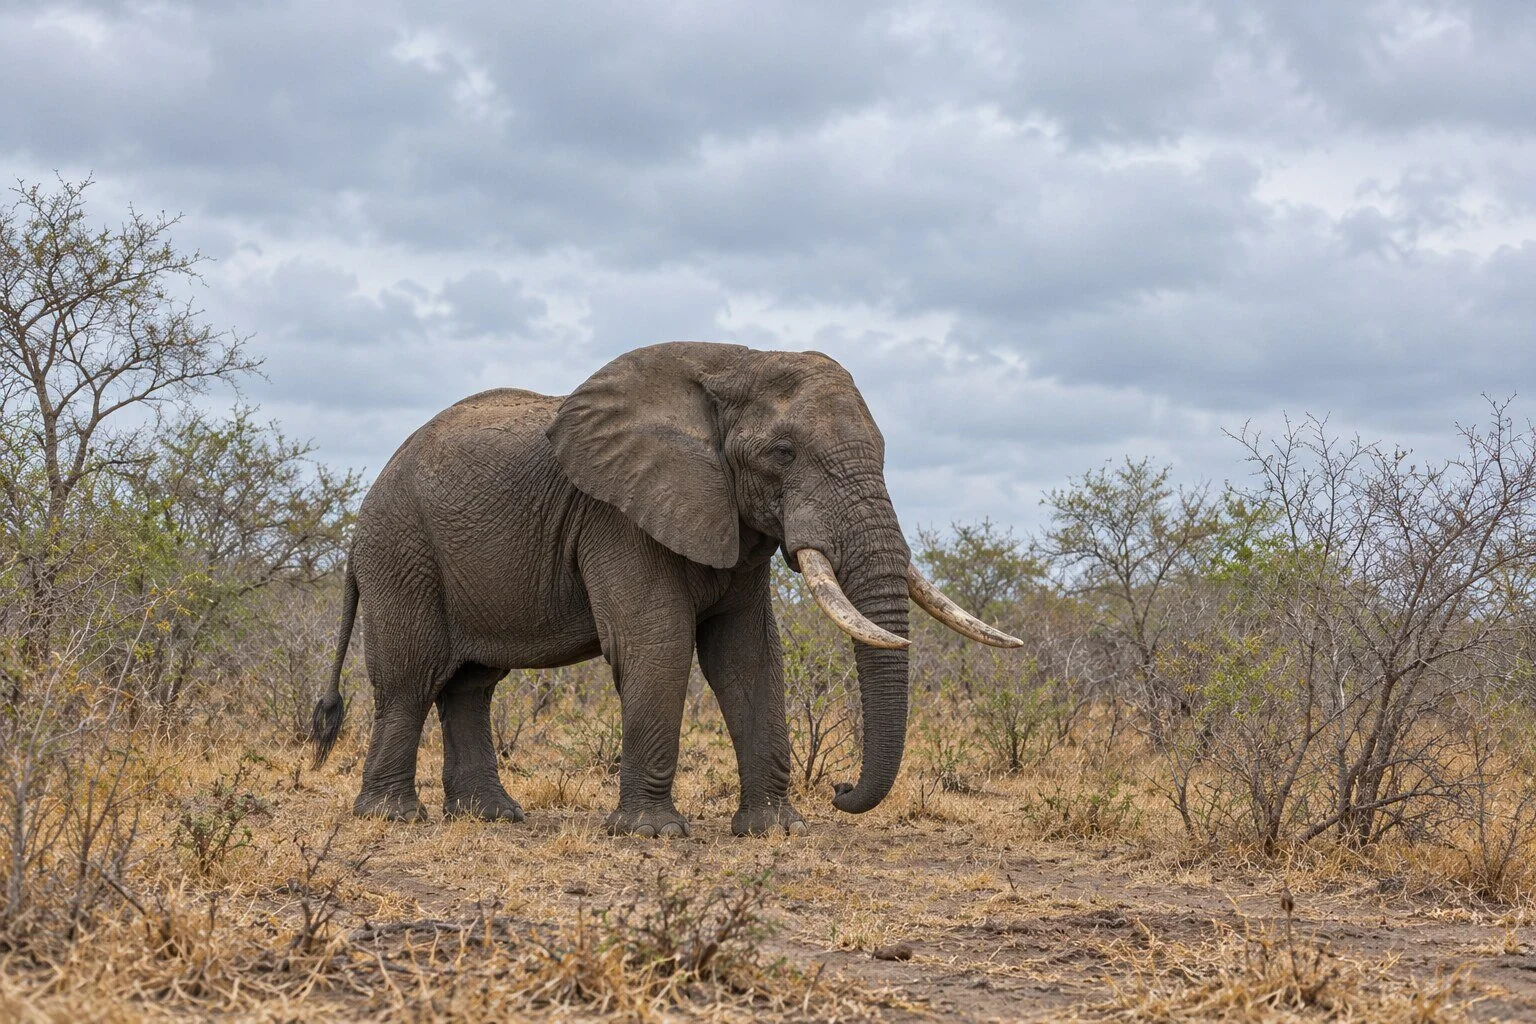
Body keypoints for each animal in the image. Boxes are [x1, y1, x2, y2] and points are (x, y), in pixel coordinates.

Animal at [310, 342, 1021, 836]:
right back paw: (392, 818)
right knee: (410, 678)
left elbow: (749, 658)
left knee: (470, 685)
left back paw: (493, 817)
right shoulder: (618, 518)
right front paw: (652, 835)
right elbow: (659, 643)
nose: (841, 789)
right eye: (784, 454)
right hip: (402, 552)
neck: (733, 363)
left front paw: (775, 831)